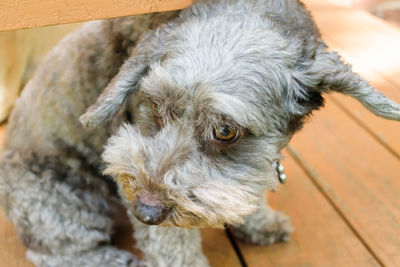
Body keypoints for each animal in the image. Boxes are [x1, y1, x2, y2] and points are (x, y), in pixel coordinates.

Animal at [0, 0, 400, 266]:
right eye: (153, 106)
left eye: (225, 131)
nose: (144, 211)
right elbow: (174, 250)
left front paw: (261, 222)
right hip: (59, 202)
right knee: (57, 252)